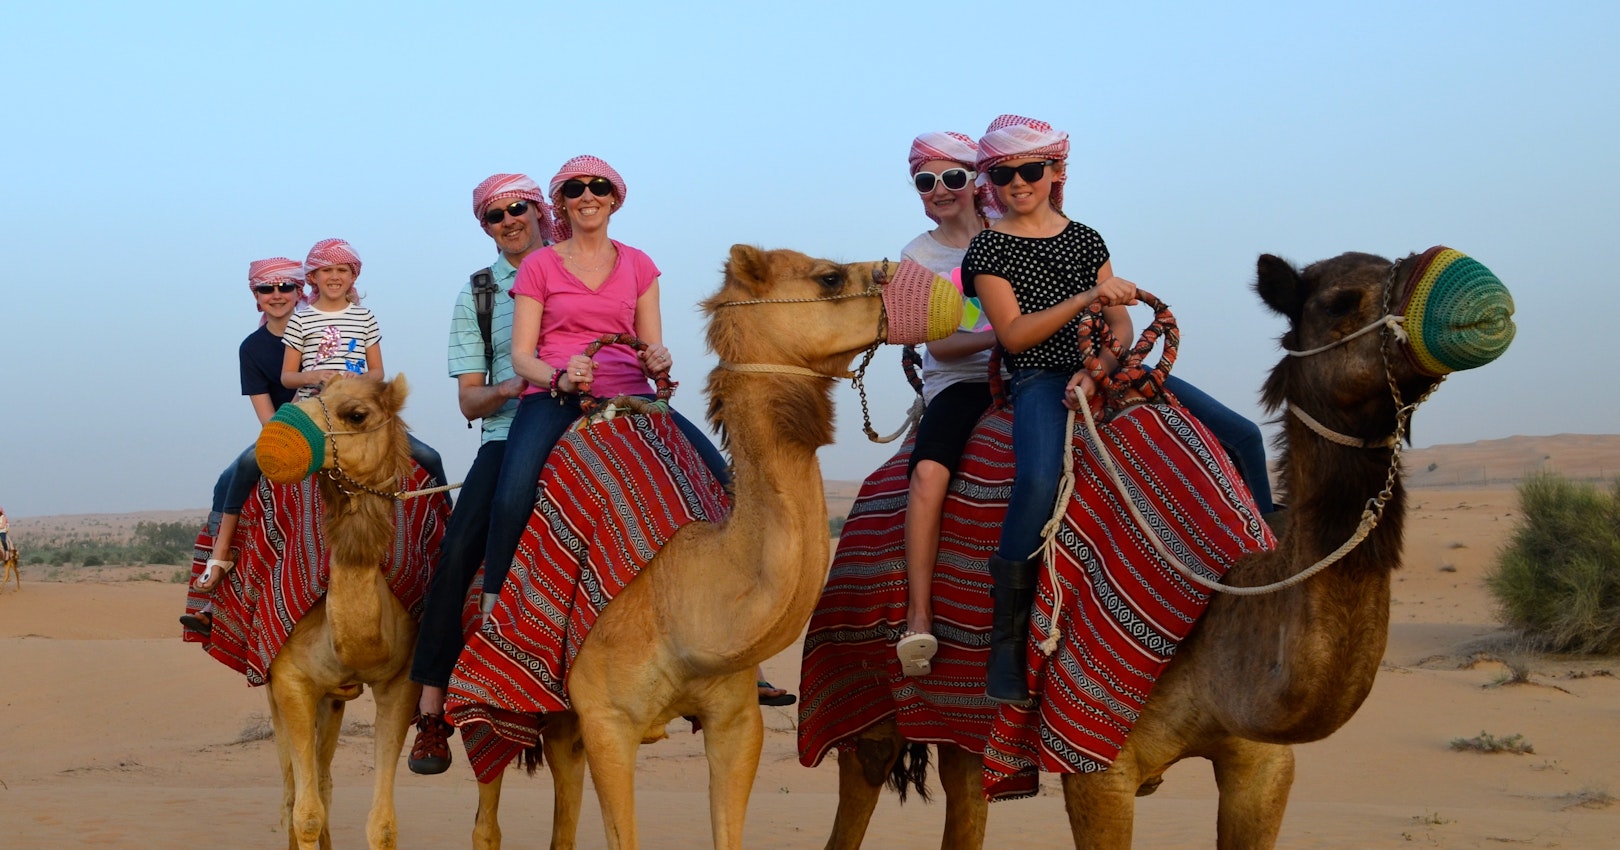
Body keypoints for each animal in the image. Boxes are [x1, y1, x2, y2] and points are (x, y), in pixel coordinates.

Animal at [249, 375, 434, 848]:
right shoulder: (290, 680)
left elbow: (382, 822)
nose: (273, 438)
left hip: (332, 699)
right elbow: (304, 813)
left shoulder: (399, 683)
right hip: (273, 685)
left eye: (357, 414)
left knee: (323, 780)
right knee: (292, 791)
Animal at [443, 241, 959, 841]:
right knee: (487, 812)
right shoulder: (609, 721)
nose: (939, 289)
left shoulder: (735, 720)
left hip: (566, 725)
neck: (681, 590)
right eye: (829, 277)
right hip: (502, 711)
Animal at [822, 246, 1516, 848]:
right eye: (1342, 301)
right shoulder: (1097, 763)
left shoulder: (1262, 764)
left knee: (965, 786)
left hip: (961, 726)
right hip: (867, 698)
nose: (1485, 302)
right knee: (860, 787)